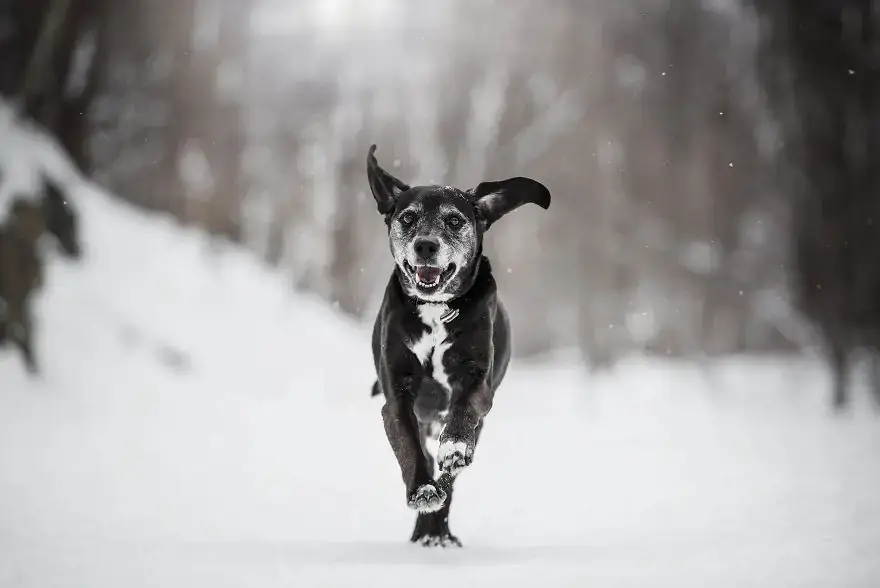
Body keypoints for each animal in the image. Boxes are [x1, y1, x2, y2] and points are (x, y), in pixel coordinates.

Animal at [366, 146, 552, 548]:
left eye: (454, 220)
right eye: (408, 217)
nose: (426, 245)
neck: (436, 311)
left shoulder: (477, 382)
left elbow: (464, 413)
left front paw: (452, 447)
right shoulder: (397, 397)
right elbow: (410, 448)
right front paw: (421, 491)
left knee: (451, 477)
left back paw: (437, 529)